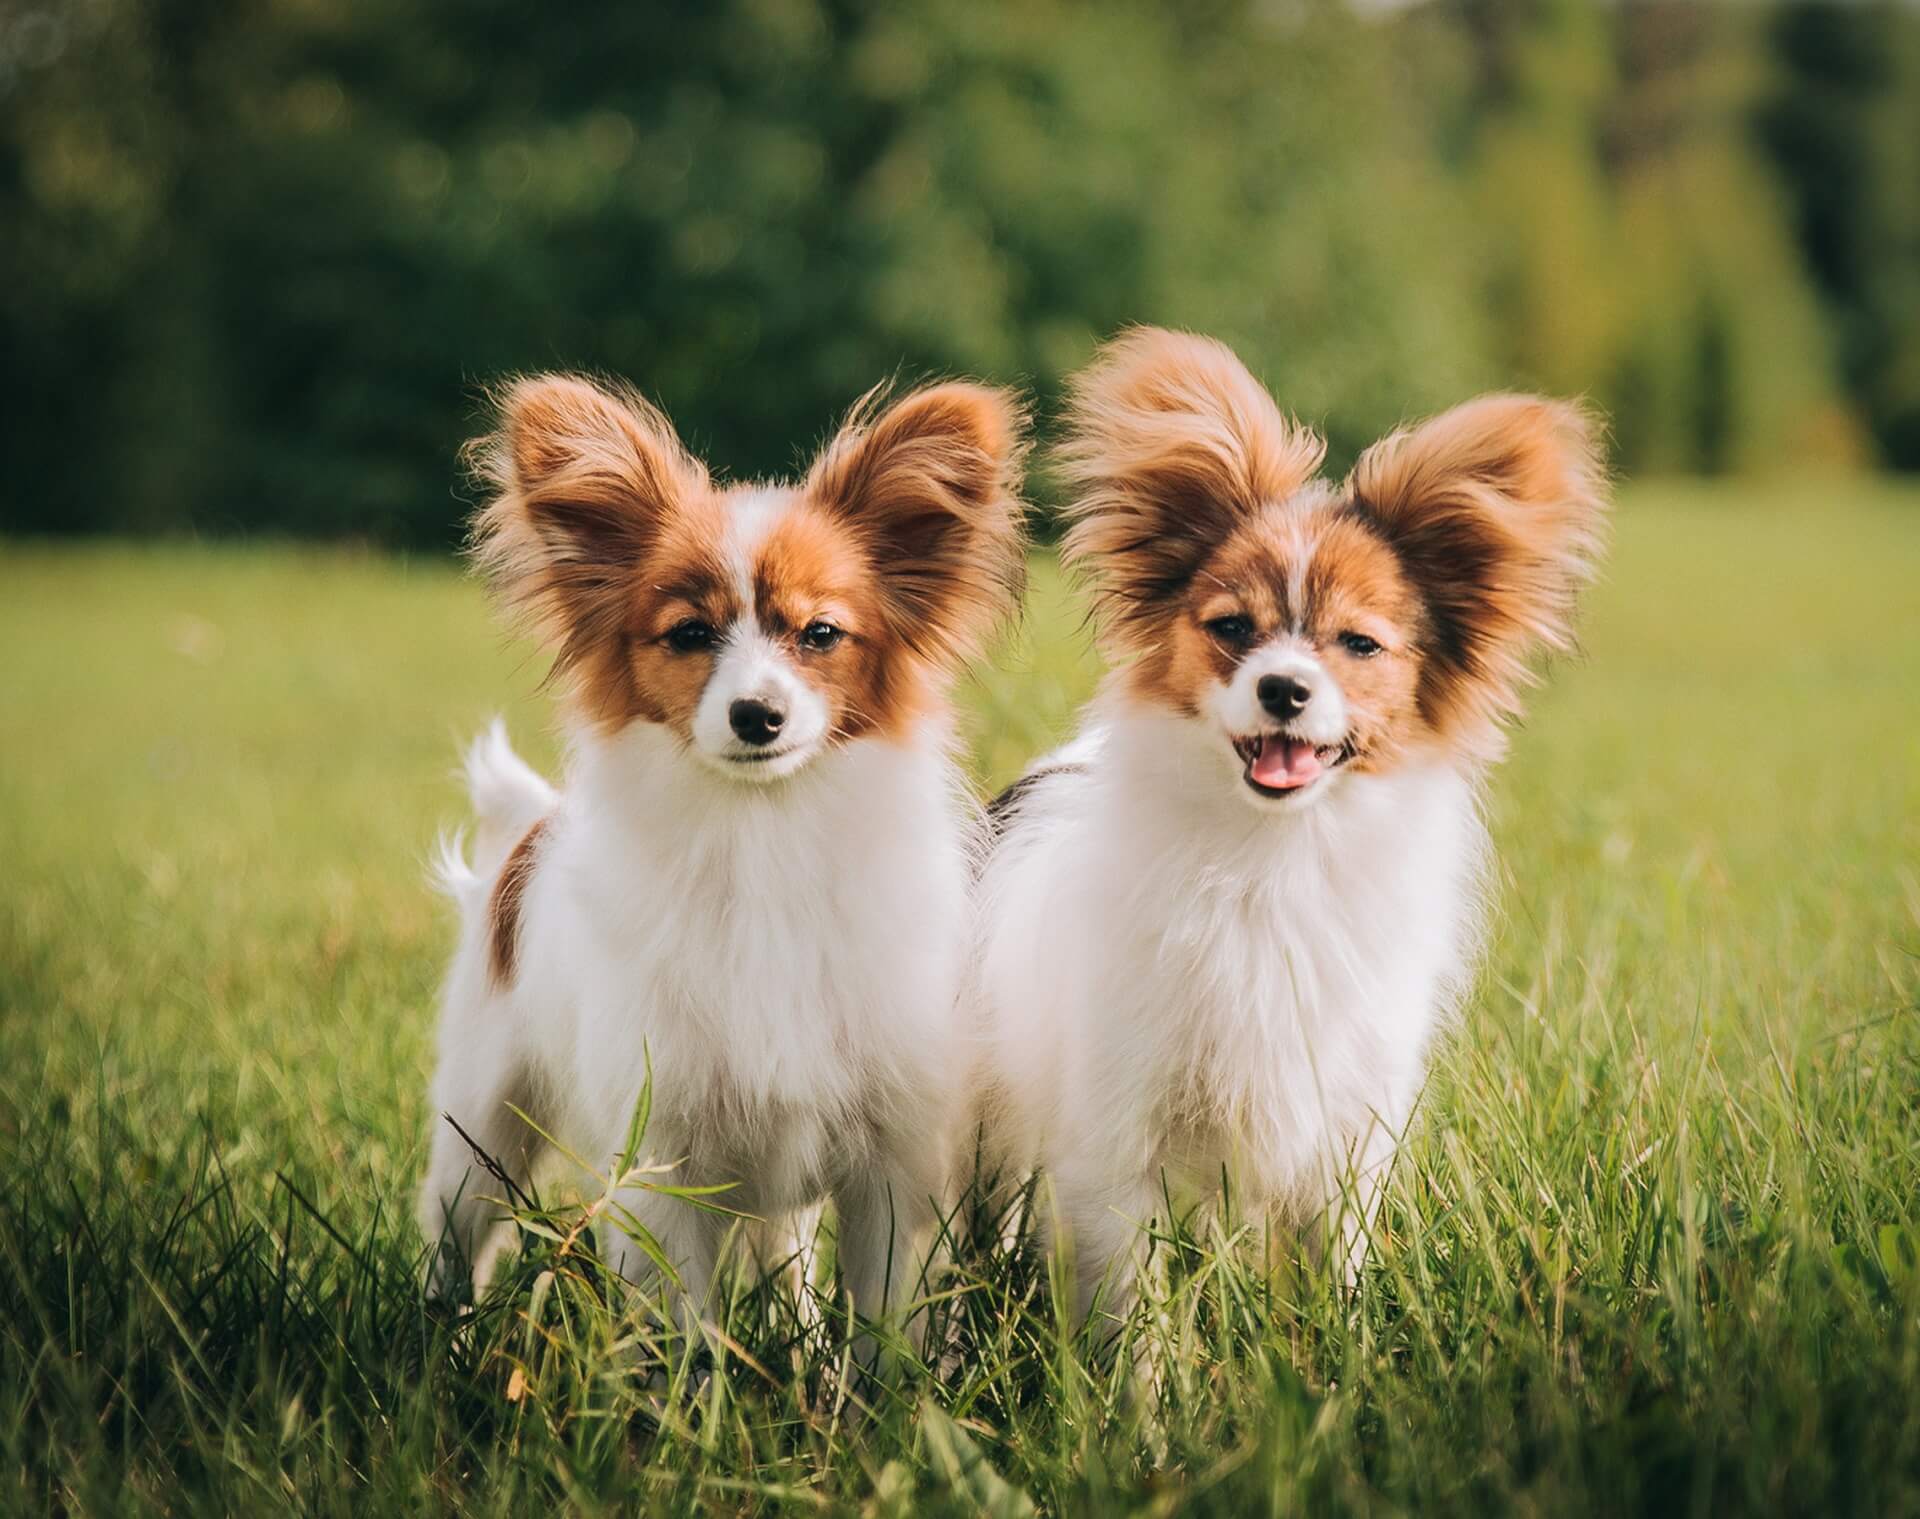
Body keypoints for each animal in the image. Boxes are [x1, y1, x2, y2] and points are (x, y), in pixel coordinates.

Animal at [975, 326, 1605, 1321]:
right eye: (1233, 628)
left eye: (1360, 645)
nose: (1283, 687)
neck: (1277, 849)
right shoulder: (1117, 1130)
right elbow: (1134, 1304)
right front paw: (1143, 1372)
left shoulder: (1347, 1128)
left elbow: (1330, 1269)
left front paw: (1335, 1349)